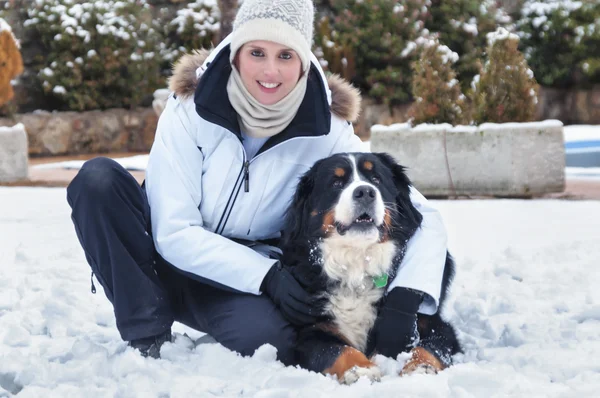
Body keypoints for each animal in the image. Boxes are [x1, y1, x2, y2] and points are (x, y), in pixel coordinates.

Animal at [284, 152, 462, 382]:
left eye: (376, 179)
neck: (358, 264)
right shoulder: (310, 330)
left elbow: (430, 346)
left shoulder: (433, 324)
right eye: (336, 182)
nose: (365, 192)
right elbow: (335, 349)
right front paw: (360, 369)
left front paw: (420, 368)